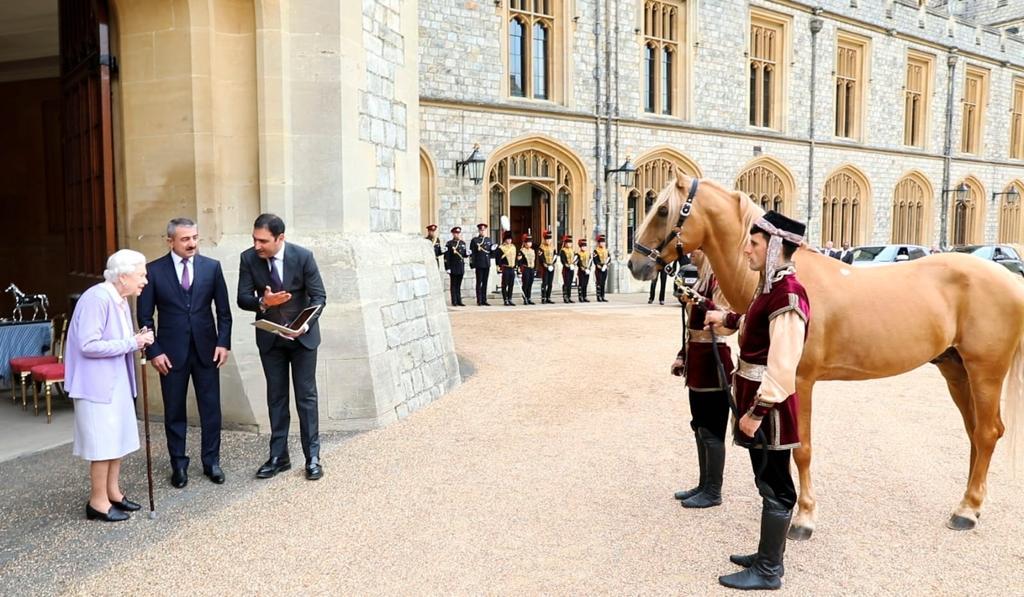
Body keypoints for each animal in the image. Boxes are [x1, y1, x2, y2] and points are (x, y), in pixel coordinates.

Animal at [622, 175, 1024, 540]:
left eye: (662, 210)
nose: (634, 264)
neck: (782, 275)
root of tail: (1009, 280)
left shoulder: (799, 382)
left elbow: (802, 450)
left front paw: (803, 518)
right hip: (955, 370)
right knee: (975, 433)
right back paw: (971, 503)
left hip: (985, 372)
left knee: (987, 432)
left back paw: (967, 511)